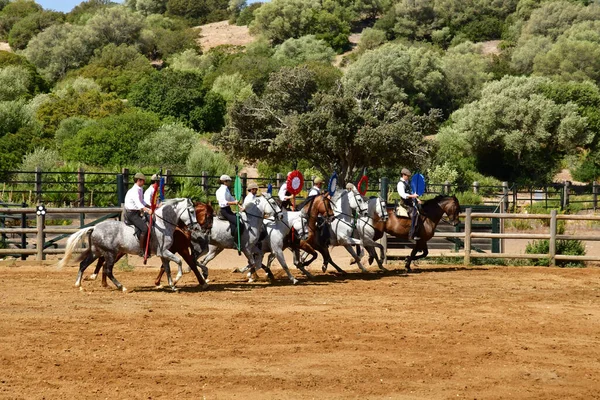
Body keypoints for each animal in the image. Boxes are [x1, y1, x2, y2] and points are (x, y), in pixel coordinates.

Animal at [58, 198, 199, 292]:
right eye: (192, 211)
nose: (196, 227)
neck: (162, 224)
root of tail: (95, 227)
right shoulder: (164, 252)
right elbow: (179, 262)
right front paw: (177, 279)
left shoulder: (163, 254)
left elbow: (167, 269)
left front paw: (172, 286)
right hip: (110, 253)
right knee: (108, 270)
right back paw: (122, 287)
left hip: (96, 252)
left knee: (83, 265)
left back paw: (79, 285)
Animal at [85, 202, 214, 290]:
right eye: (209, 215)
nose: (208, 230)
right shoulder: (182, 249)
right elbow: (191, 264)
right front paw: (203, 283)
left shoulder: (168, 251)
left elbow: (165, 267)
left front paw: (162, 283)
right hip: (116, 252)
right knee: (104, 263)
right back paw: (103, 281)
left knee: (104, 263)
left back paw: (104, 283)